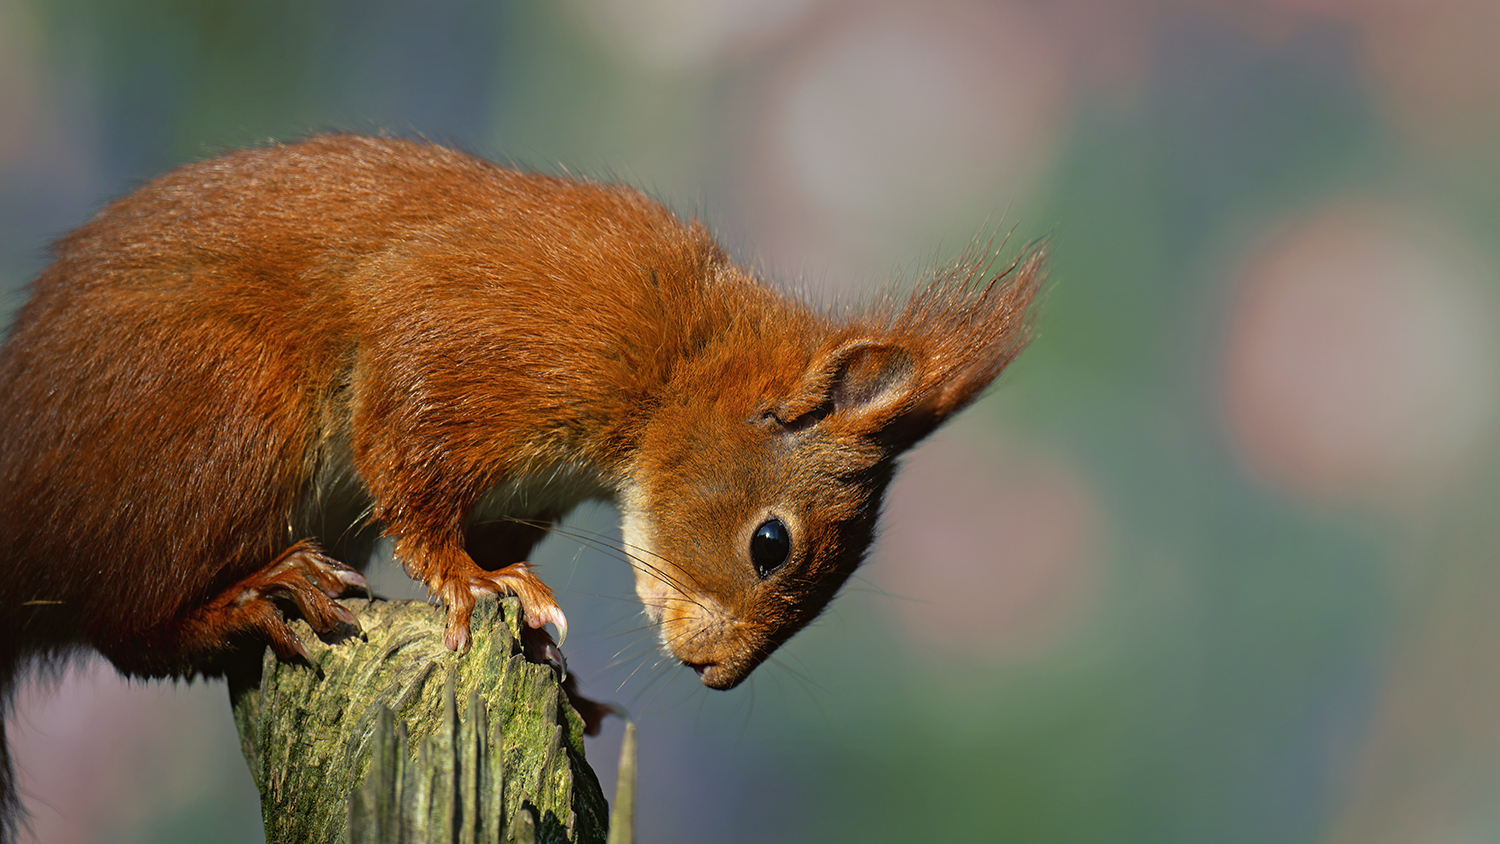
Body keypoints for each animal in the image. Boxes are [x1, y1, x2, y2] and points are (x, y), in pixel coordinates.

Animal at [0, 131, 1044, 833]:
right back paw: (251, 597)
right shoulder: (486, 330)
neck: (679, 356)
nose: (714, 674)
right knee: (125, 622)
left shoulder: (525, 489)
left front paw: (556, 667)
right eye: (770, 542)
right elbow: (414, 466)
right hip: (220, 414)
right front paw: (472, 583)